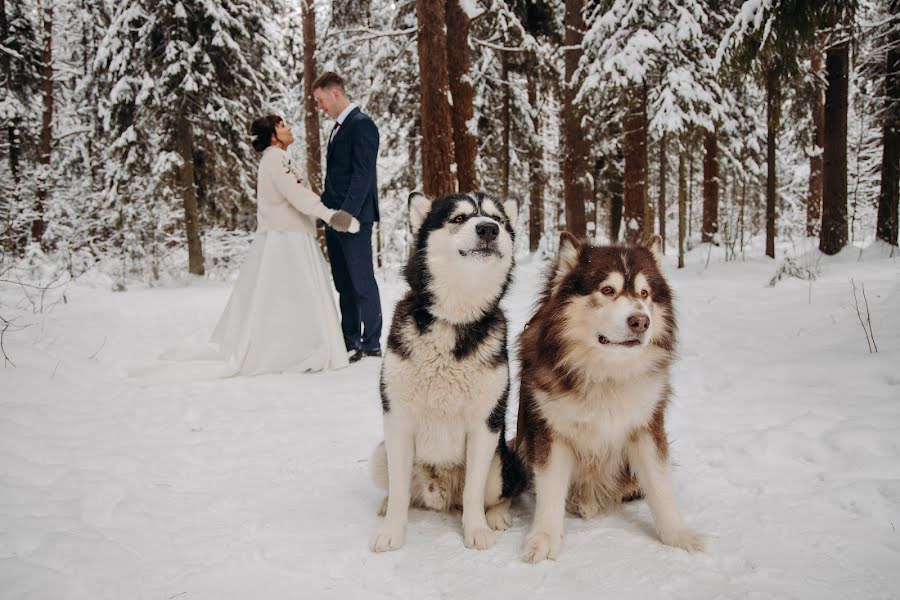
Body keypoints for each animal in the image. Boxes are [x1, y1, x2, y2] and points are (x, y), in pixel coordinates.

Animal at [370, 192, 528, 552]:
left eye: (498, 219)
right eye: (458, 218)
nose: (488, 229)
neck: (453, 320)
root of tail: (439, 494)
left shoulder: (485, 425)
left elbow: (473, 492)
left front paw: (476, 529)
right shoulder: (397, 421)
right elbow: (399, 492)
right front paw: (392, 531)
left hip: (501, 464)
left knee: (499, 495)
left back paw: (497, 515)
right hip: (380, 454)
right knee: (404, 491)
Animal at [512, 233, 704, 564]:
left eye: (644, 293)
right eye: (607, 290)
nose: (640, 321)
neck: (606, 372)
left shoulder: (646, 426)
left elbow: (660, 484)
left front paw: (677, 534)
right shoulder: (550, 431)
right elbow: (550, 488)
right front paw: (544, 537)